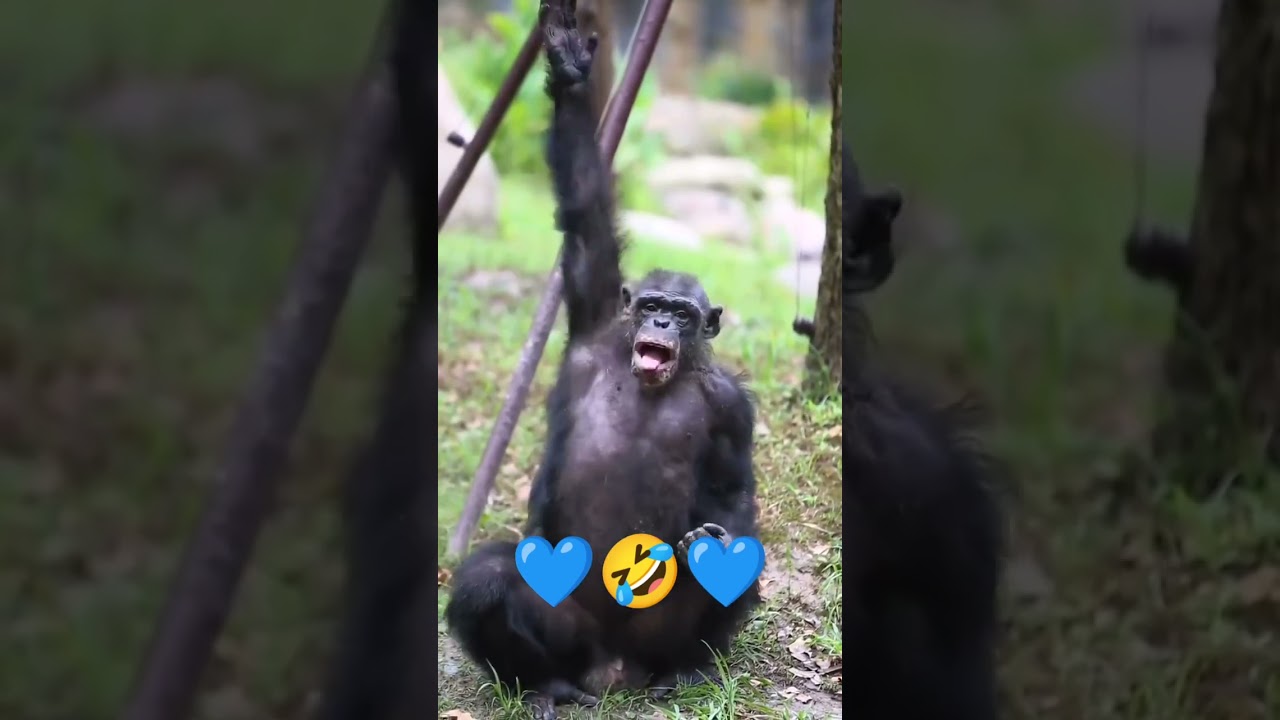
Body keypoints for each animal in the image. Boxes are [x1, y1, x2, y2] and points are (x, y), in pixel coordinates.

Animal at [442, 3, 761, 718]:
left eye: (685, 313)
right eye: (649, 304)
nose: (662, 323)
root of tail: (613, 672)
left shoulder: (734, 408)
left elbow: (733, 491)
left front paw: (714, 538)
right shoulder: (593, 313)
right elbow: (586, 206)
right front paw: (569, 67)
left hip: (651, 636)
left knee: (736, 565)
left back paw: (687, 668)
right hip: (570, 631)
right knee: (488, 577)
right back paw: (543, 684)